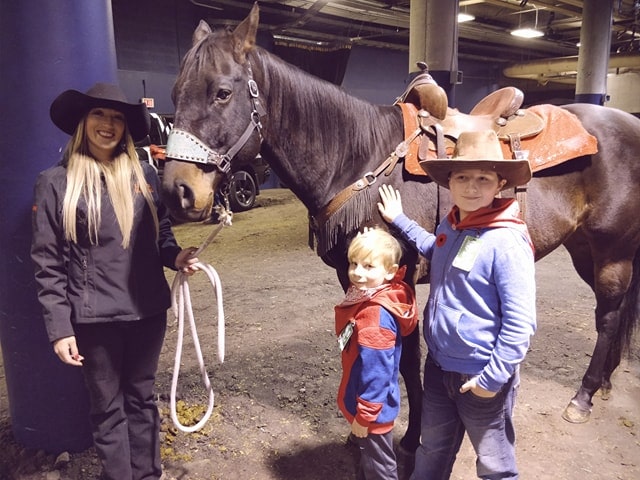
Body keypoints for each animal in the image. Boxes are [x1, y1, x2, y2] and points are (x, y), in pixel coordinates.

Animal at [161, 3, 640, 454]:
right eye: (175, 93)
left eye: (222, 92)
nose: (177, 191)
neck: (358, 158)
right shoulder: (352, 274)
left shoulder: (401, 278)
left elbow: (407, 358)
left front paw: (411, 436)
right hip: (584, 250)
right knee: (614, 315)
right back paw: (604, 383)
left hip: (612, 250)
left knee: (607, 316)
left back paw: (583, 396)